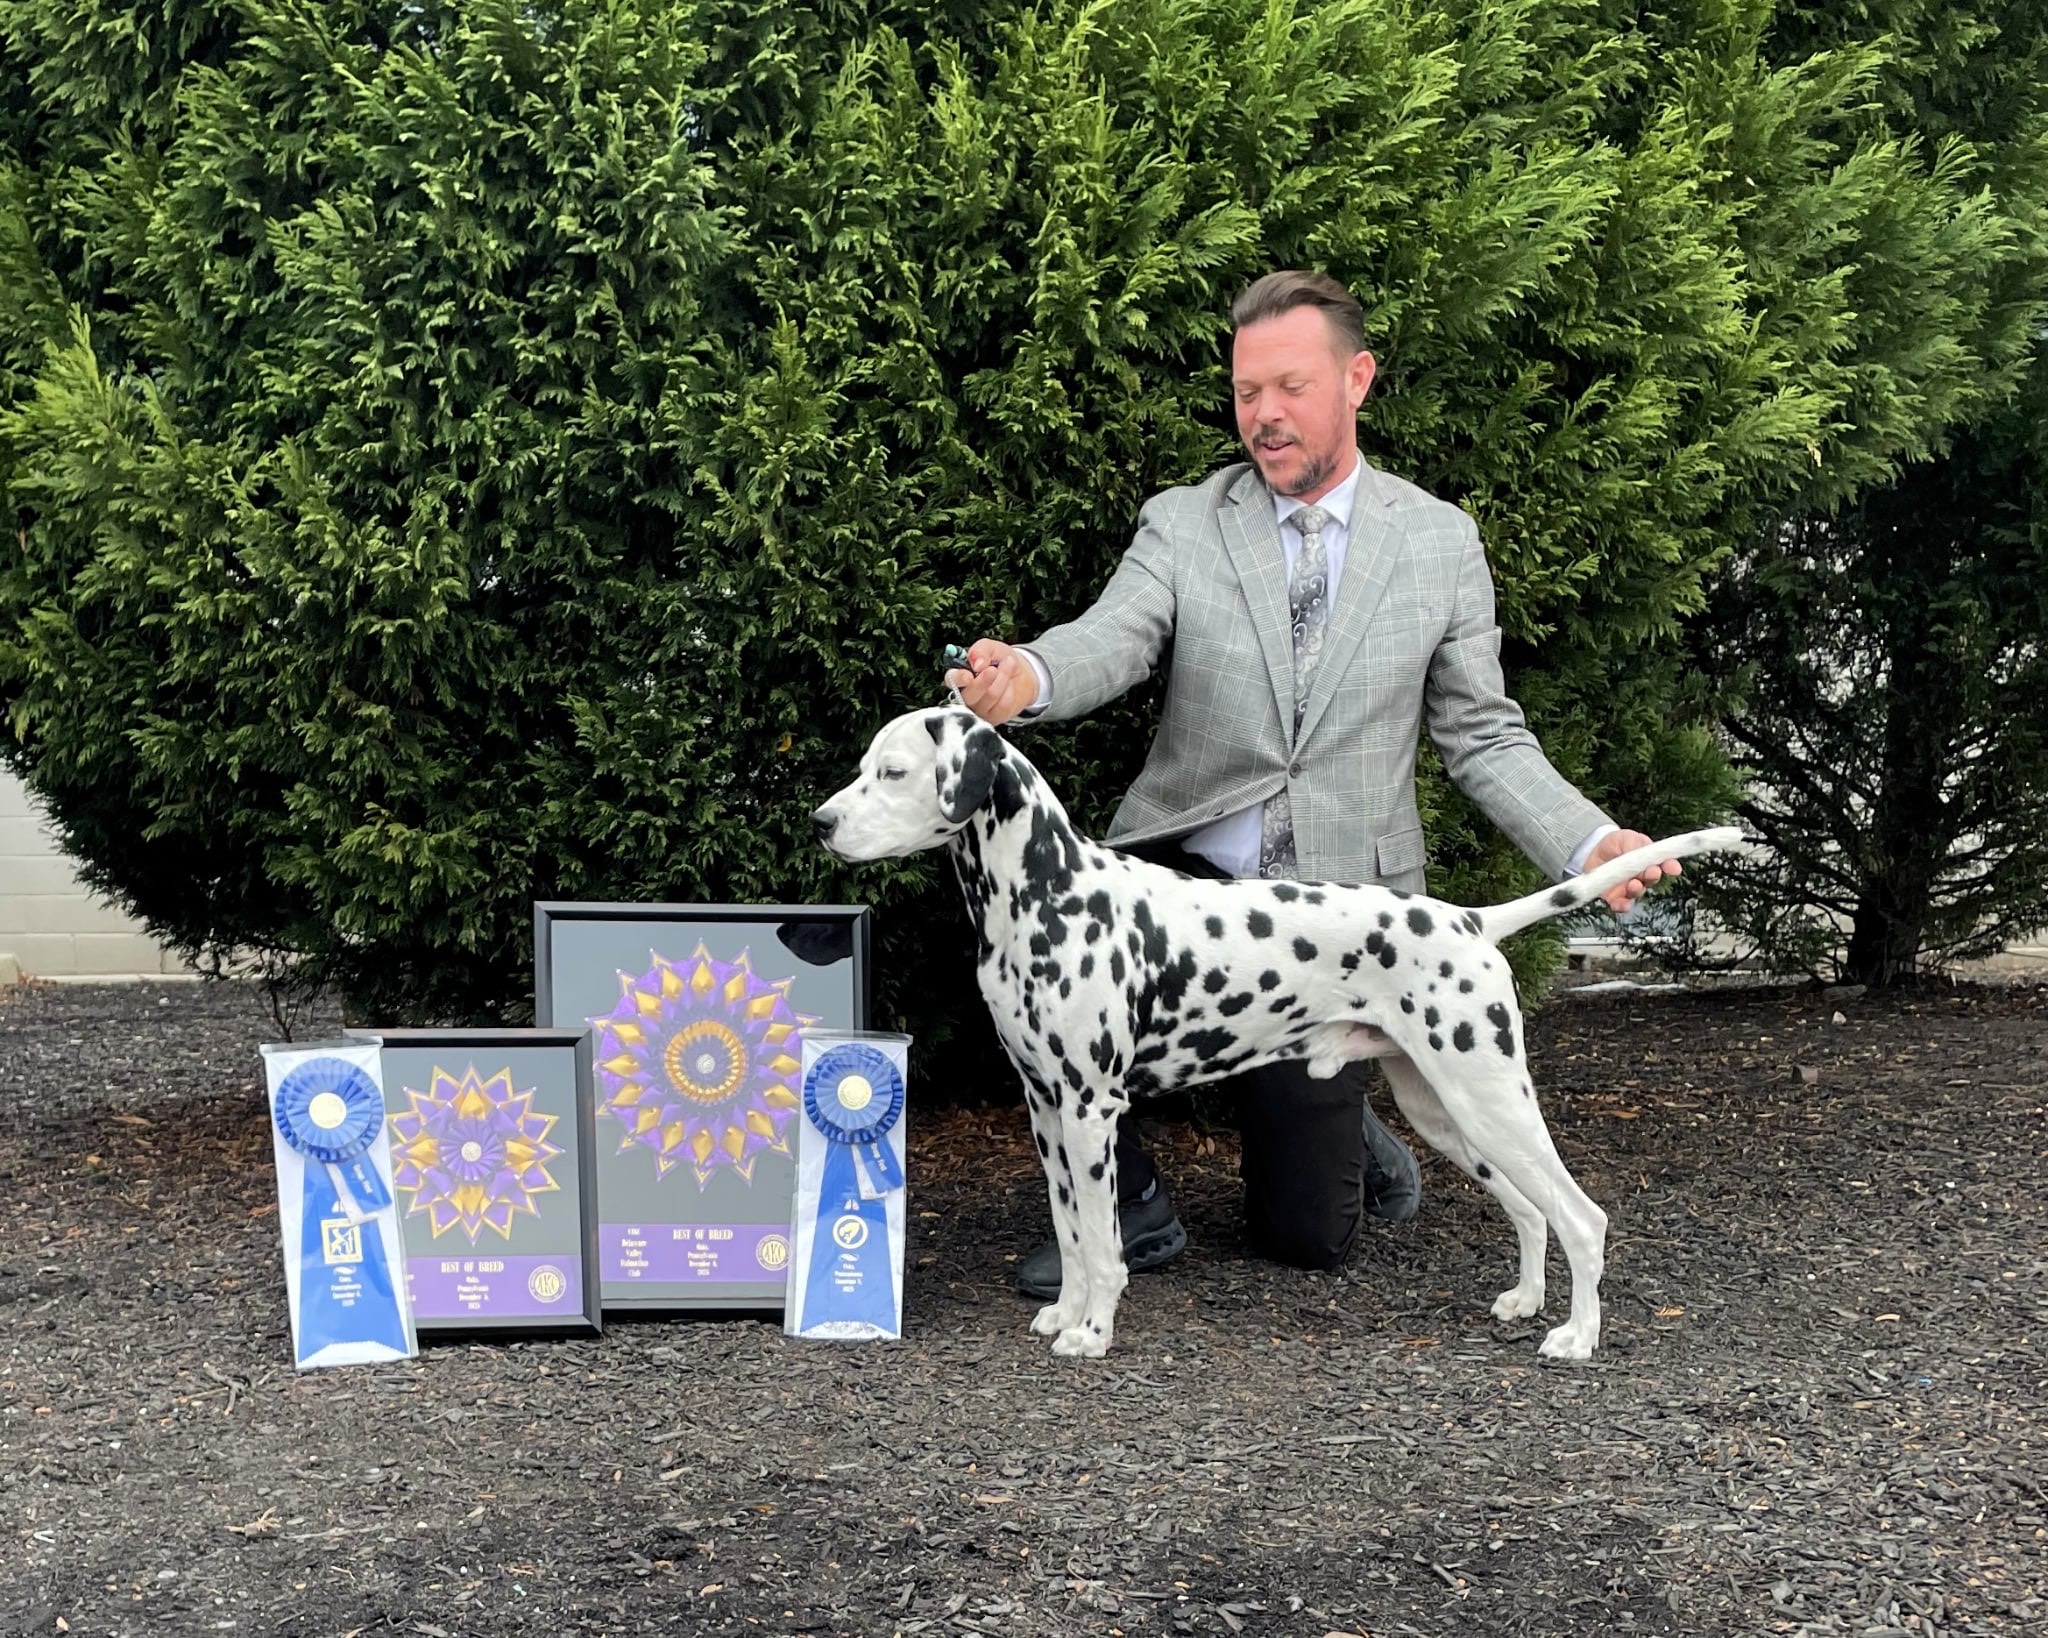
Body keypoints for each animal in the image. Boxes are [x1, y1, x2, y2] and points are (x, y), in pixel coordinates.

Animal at [814, 707, 1745, 1360]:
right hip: (1447, 1110)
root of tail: (1472, 920)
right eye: (860, 767)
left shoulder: (1088, 1109)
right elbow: (1073, 1235)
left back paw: (1578, 1337)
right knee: (1529, 1208)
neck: (1047, 892)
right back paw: (1524, 1301)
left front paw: (1094, 1331)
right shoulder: (1045, 1108)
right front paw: (1063, 1314)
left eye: (892, 771)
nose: (822, 822)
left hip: (1489, 1096)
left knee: (1581, 1215)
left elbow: (1105, 1245)